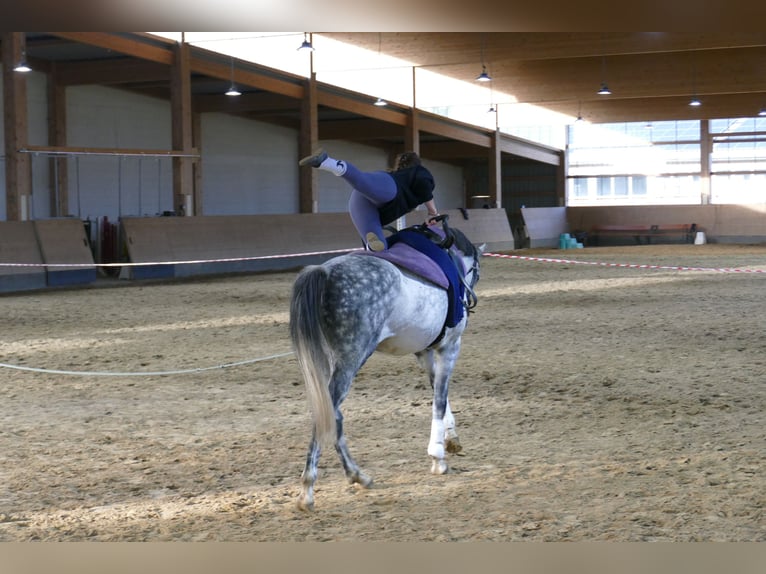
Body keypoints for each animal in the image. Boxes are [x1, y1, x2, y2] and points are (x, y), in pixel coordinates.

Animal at [289, 224, 483, 511]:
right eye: (477, 271)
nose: (470, 300)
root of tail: (324, 271)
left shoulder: (424, 353)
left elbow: (440, 392)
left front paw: (451, 439)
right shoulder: (449, 347)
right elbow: (439, 400)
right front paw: (438, 458)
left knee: (332, 414)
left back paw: (357, 475)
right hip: (352, 356)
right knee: (330, 412)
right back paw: (309, 489)